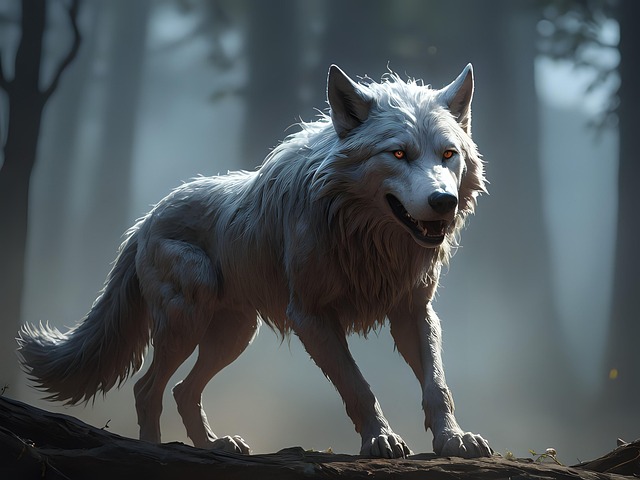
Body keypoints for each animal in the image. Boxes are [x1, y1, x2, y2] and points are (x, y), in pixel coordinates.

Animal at [18, 64, 491, 458]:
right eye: (398, 154)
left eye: (448, 155)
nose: (443, 202)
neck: (367, 238)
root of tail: (144, 222)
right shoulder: (310, 316)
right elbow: (357, 385)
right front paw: (381, 439)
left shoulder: (414, 312)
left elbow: (437, 384)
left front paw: (453, 439)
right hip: (187, 321)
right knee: (146, 388)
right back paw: (154, 450)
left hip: (233, 333)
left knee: (183, 391)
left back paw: (215, 444)